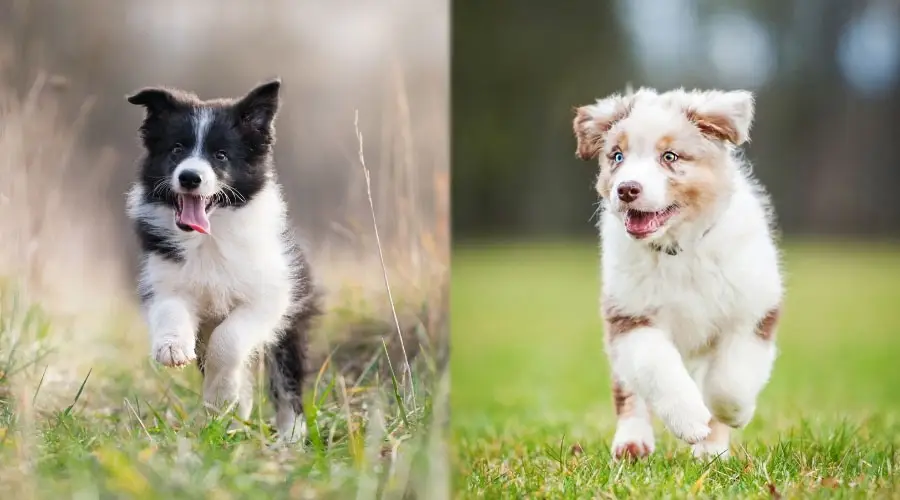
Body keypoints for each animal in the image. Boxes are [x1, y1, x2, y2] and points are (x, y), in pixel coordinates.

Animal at [125, 79, 322, 446]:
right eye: (176, 149)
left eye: (220, 155)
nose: (189, 177)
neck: (209, 237)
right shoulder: (164, 277)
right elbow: (170, 309)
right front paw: (172, 348)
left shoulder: (270, 296)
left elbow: (229, 340)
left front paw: (222, 395)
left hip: (292, 322)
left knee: (286, 379)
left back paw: (290, 434)